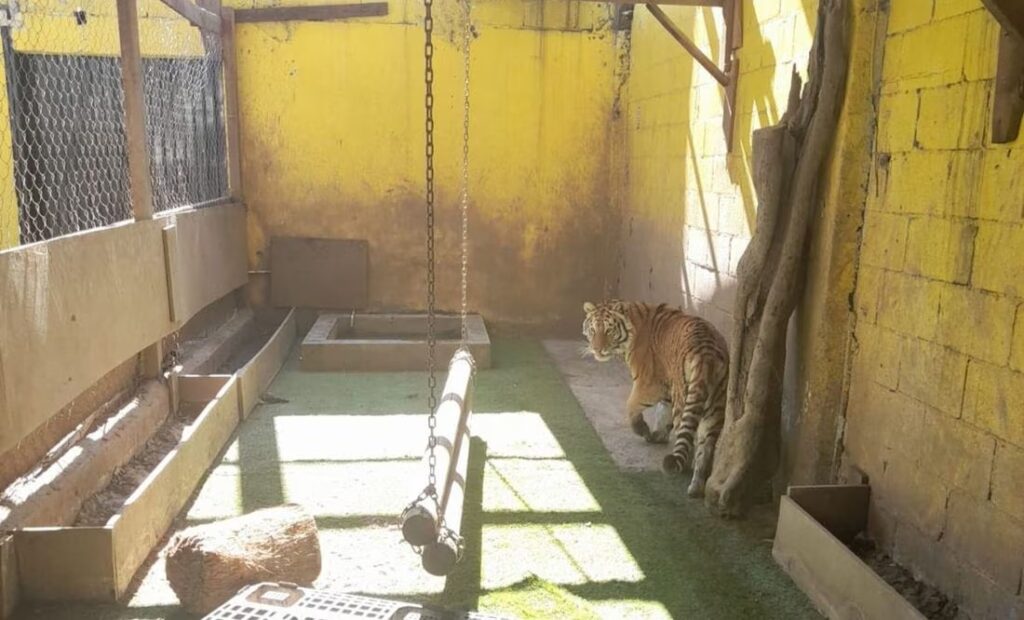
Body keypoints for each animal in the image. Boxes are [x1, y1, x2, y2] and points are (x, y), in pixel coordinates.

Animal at [582, 300, 729, 497]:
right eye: (593, 329)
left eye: (608, 330)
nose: (597, 349)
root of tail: (707, 354)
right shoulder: (666, 389)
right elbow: (662, 412)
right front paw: (658, 435)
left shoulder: (648, 384)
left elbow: (631, 406)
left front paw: (643, 429)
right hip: (714, 409)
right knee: (705, 448)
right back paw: (696, 486)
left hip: (683, 400)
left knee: (688, 437)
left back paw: (683, 469)